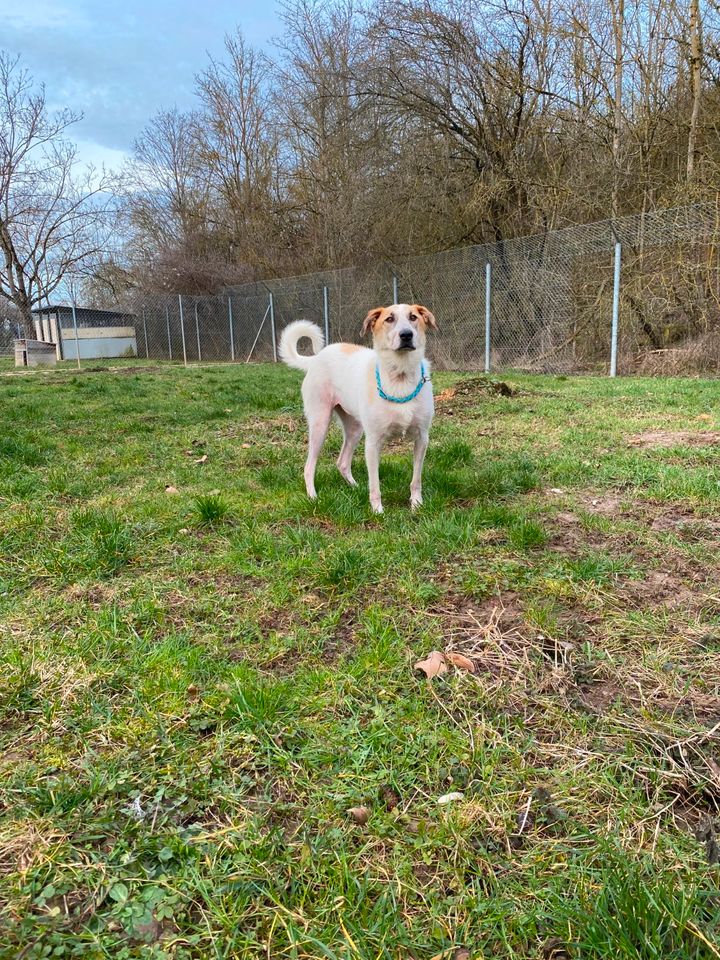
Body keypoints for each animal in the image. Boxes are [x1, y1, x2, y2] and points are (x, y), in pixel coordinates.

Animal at [278, 304, 436, 512]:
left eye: (413, 317)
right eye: (389, 319)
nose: (406, 335)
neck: (400, 377)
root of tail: (317, 357)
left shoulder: (422, 438)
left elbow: (416, 479)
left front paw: (416, 504)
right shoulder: (373, 442)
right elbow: (375, 484)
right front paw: (377, 511)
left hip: (355, 429)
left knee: (342, 462)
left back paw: (355, 487)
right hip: (320, 424)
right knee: (309, 467)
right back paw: (313, 497)